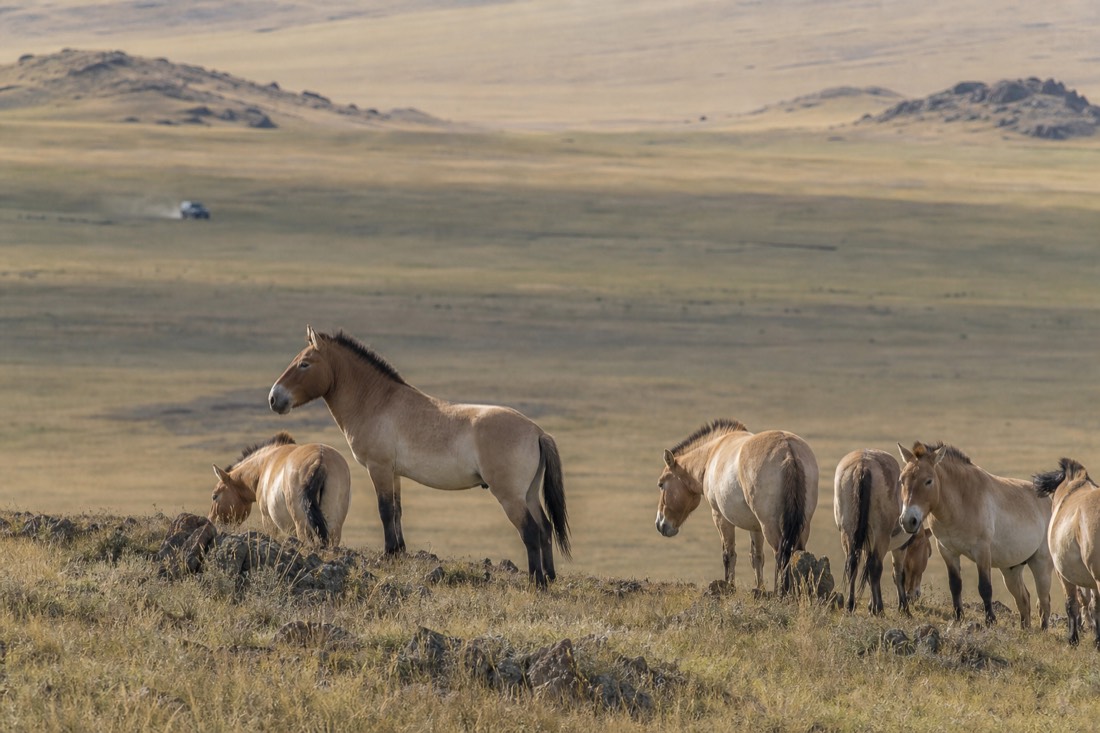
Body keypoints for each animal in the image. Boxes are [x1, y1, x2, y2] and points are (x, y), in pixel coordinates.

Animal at [209, 431, 351, 548]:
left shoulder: (268, 520)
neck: (263, 465)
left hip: (303, 527)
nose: (211, 522)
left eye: (214, 496)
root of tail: (320, 460)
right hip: (333, 527)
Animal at [267, 327, 569, 588]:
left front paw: (389, 553)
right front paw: (399, 552)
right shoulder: (394, 473)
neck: (377, 401)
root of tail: (537, 431)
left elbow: (385, 510)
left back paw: (537, 583)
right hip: (528, 494)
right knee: (544, 529)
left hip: (510, 496)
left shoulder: (379, 468)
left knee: (530, 531)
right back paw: (550, 578)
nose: (274, 398)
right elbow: (397, 511)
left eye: (304, 364)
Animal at [654, 419, 818, 593]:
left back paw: (780, 592)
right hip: (802, 525)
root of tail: (788, 450)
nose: (660, 524)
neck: (712, 455)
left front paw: (729, 587)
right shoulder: (755, 527)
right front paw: (759, 588)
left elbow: (729, 554)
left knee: (780, 554)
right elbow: (756, 557)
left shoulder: (720, 517)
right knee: (798, 554)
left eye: (661, 484)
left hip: (770, 525)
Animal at [833, 449, 931, 615]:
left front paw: (871, 605)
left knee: (853, 564)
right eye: (928, 553)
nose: (916, 594)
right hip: (881, 535)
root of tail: (863, 466)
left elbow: (867, 570)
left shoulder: (868, 544)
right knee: (875, 567)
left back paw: (850, 605)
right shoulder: (900, 547)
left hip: (847, 531)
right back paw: (879, 609)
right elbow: (898, 575)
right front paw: (903, 608)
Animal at [898, 441, 1052, 628]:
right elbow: (955, 585)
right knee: (1024, 599)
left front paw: (990, 621)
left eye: (928, 481)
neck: (961, 501)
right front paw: (958, 618)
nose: (908, 520)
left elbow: (985, 587)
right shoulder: (947, 550)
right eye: (902, 480)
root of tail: (1050, 501)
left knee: (1044, 601)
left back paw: (1043, 630)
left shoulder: (982, 551)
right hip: (1011, 570)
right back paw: (1025, 630)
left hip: (1041, 564)